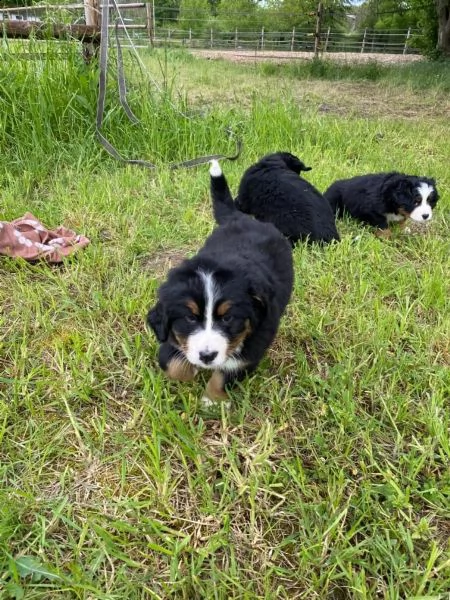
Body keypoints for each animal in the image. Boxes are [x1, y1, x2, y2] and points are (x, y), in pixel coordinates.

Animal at [147, 159, 296, 408]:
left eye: (228, 318)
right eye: (190, 318)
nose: (207, 356)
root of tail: (242, 218)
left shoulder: (253, 346)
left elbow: (226, 374)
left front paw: (213, 400)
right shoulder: (171, 335)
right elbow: (173, 366)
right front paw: (192, 370)